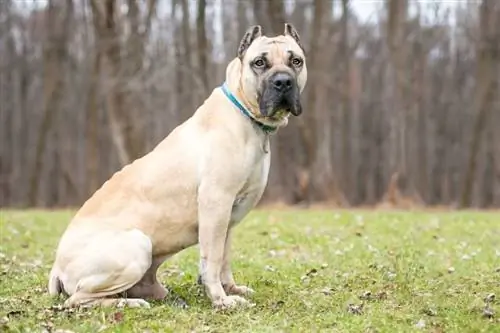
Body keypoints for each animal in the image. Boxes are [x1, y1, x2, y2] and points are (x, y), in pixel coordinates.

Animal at [48, 23, 306, 308]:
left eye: (296, 61)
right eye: (259, 62)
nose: (283, 81)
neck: (246, 116)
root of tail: (56, 269)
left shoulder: (228, 217)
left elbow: (224, 257)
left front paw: (231, 289)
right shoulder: (216, 203)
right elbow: (213, 258)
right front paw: (220, 299)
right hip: (137, 245)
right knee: (78, 300)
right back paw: (130, 304)